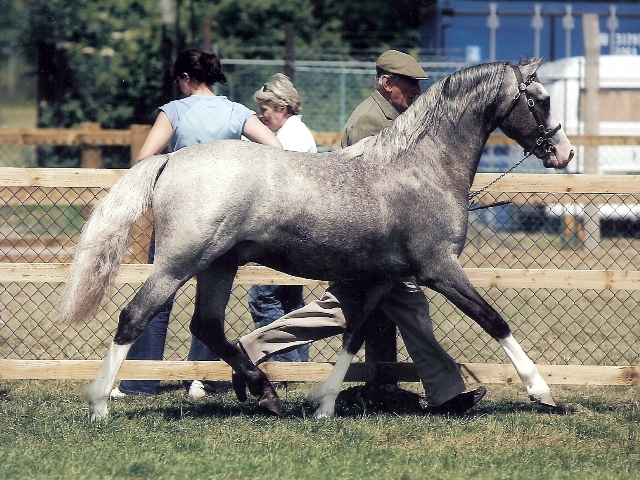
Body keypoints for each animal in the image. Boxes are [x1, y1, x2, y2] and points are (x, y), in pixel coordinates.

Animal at [58, 57, 573, 421]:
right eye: (542, 99)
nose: (564, 153)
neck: (420, 167)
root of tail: (172, 160)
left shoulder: (381, 277)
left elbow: (354, 334)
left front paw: (323, 404)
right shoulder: (438, 268)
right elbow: (494, 320)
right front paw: (542, 392)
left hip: (219, 265)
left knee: (207, 326)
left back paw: (265, 392)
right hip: (179, 263)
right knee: (134, 316)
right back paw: (100, 404)